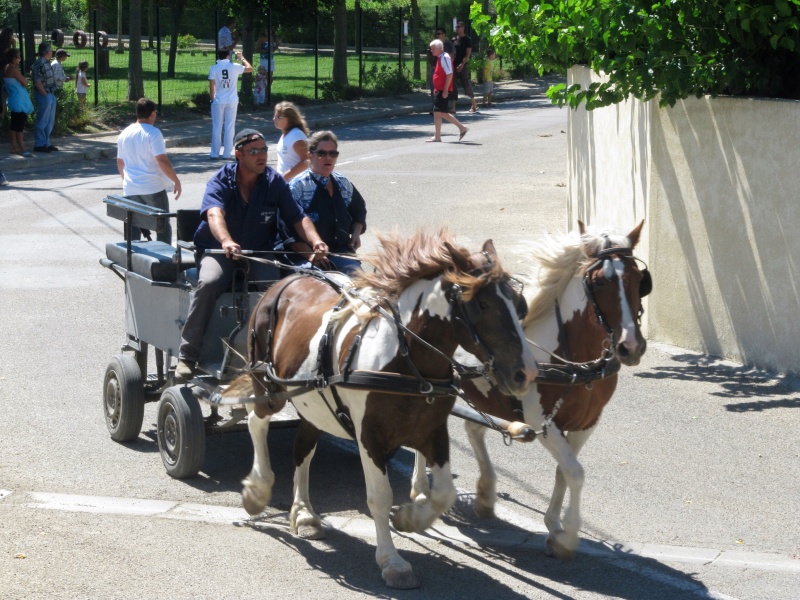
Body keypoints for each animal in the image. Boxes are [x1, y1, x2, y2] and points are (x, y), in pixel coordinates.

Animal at [234, 232, 540, 588]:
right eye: (482, 305)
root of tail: (286, 280)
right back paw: (257, 490)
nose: (526, 373)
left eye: (519, 305)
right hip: (270, 387)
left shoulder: (433, 430)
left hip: (314, 400)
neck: (406, 361)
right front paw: (393, 562)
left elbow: (444, 493)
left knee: (303, 447)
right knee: (256, 422)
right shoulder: (369, 435)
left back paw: (305, 514)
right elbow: (379, 496)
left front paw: (410, 518)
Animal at [412, 223, 648, 560]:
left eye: (640, 279)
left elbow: (564, 471)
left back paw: (486, 493)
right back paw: (419, 488)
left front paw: (554, 526)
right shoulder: (542, 423)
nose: (631, 347)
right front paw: (568, 537)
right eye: (600, 281)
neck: (572, 361)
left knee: (473, 429)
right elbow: (576, 472)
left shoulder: (586, 424)